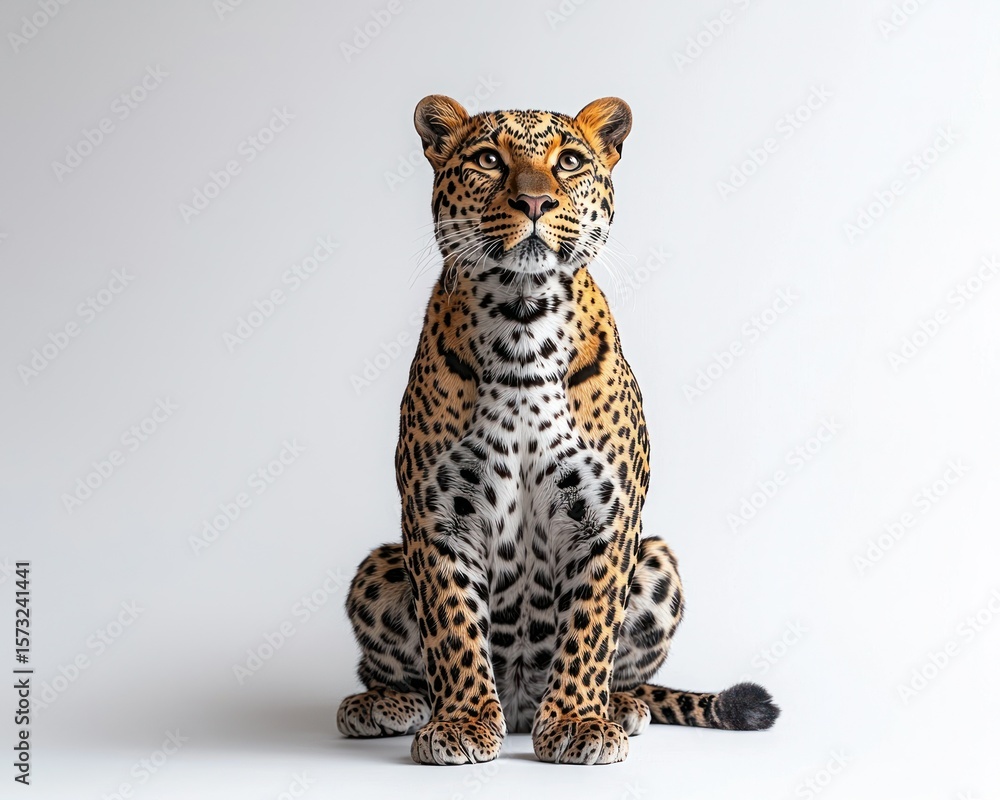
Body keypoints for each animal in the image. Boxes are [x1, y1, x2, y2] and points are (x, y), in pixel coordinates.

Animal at [337, 95, 779, 765]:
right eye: (488, 160)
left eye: (568, 161)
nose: (535, 203)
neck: (521, 316)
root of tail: (520, 707)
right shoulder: (438, 515)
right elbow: (452, 627)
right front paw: (462, 722)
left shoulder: (606, 516)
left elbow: (591, 627)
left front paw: (577, 720)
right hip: (378, 566)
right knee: (390, 670)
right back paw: (385, 705)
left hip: (658, 561)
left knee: (632, 674)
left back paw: (621, 708)